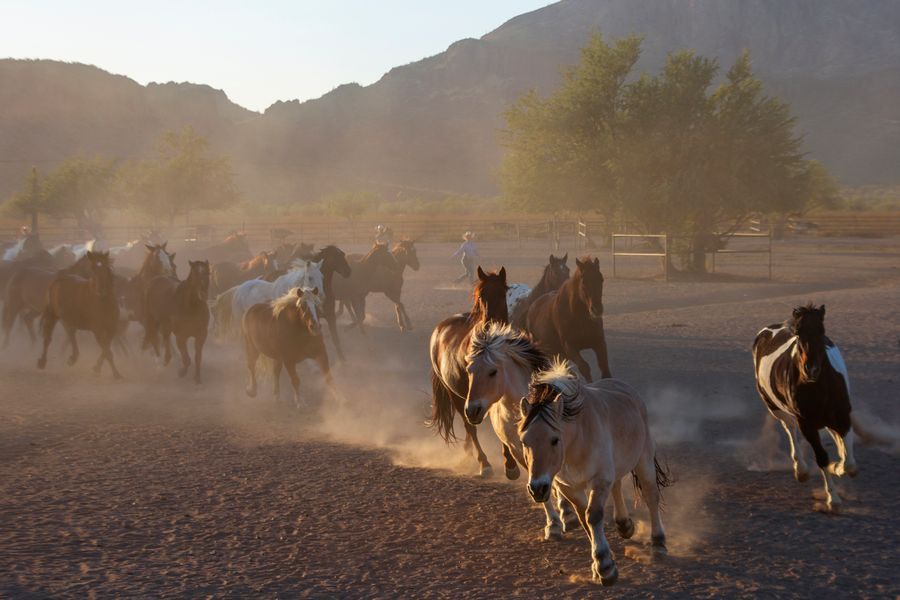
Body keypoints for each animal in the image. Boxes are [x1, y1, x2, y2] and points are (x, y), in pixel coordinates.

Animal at [428, 264, 506, 476]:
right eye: (481, 295)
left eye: (503, 292)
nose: (491, 324)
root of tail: (438, 330)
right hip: (455, 394)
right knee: (469, 425)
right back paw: (483, 463)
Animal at [460, 324, 580, 540]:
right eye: (469, 370)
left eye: (492, 372)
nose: (471, 411)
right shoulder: (520, 451)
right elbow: (540, 483)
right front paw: (553, 525)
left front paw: (566, 516)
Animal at [520, 358, 668, 584]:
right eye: (524, 441)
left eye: (554, 439)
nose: (537, 488)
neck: (576, 441)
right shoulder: (567, 486)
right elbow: (583, 518)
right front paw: (602, 564)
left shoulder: (599, 479)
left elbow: (593, 516)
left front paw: (605, 566)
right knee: (617, 485)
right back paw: (624, 524)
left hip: (643, 459)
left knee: (651, 496)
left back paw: (658, 544)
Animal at [752, 304, 856, 510]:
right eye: (798, 333)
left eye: (822, 330)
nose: (811, 369)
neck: (818, 387)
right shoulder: (807, 425)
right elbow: (822, 457)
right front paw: (833, 498)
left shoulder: (842, 415)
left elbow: (848, 461)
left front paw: (838, 466)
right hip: (775, 408)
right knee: (790, 428)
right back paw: (801, 470)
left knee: (835, 436)